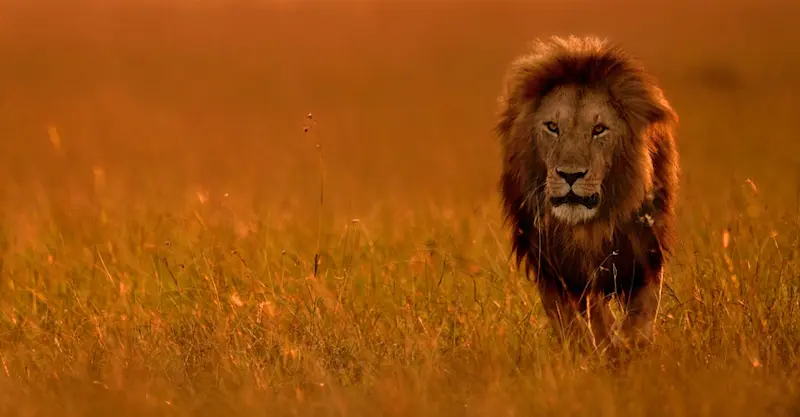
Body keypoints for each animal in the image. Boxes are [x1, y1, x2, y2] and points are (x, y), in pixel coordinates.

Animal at [495, 36, 679, 353]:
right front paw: (593, 350)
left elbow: (640, 316)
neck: (588, 228)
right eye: (552, 127)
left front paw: (629, 348)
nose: (570, 175)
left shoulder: (645, 253)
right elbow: (577, 320)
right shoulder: (552, 268)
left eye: (599, 130)